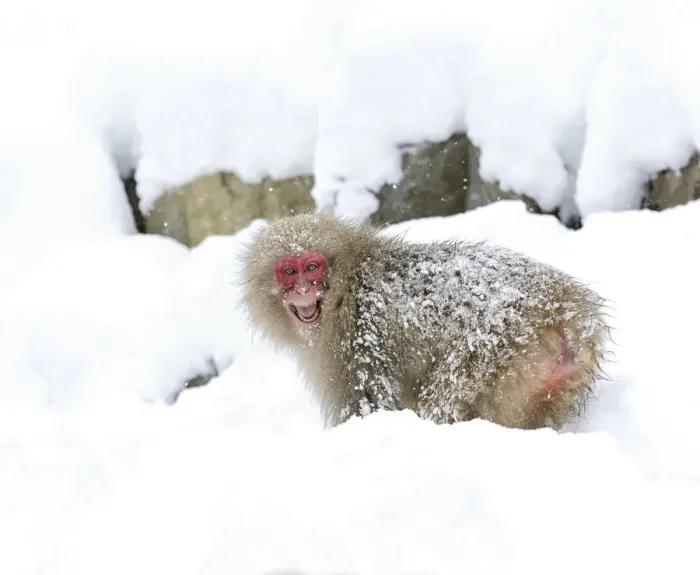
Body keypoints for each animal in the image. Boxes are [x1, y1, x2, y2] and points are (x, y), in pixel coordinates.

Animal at [240, 212, 611, 431]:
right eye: (289, 271)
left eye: (312, 267)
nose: (303, 289)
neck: (346, 287)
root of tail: (565, 312)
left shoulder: (360, 334)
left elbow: (371, 406)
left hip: (499, 342)